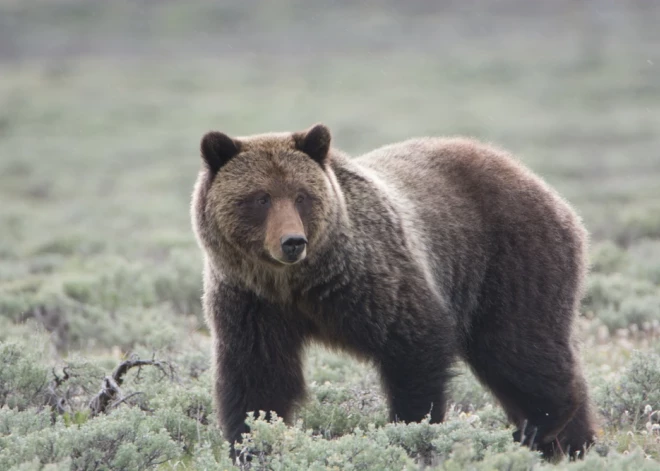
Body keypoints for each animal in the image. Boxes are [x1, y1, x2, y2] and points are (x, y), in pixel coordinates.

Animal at [191, 123, 600, 462]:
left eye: (301, 196)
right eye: (260, 197)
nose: (292, 241)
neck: (298, 284)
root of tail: (539, 182)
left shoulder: (371, 280)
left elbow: (415, 348)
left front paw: (412, 432)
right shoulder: (252, 302)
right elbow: (258, 378)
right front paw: (251, 444)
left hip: (511, 261)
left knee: (519, 349)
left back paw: (544, 428)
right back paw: (572, 443)